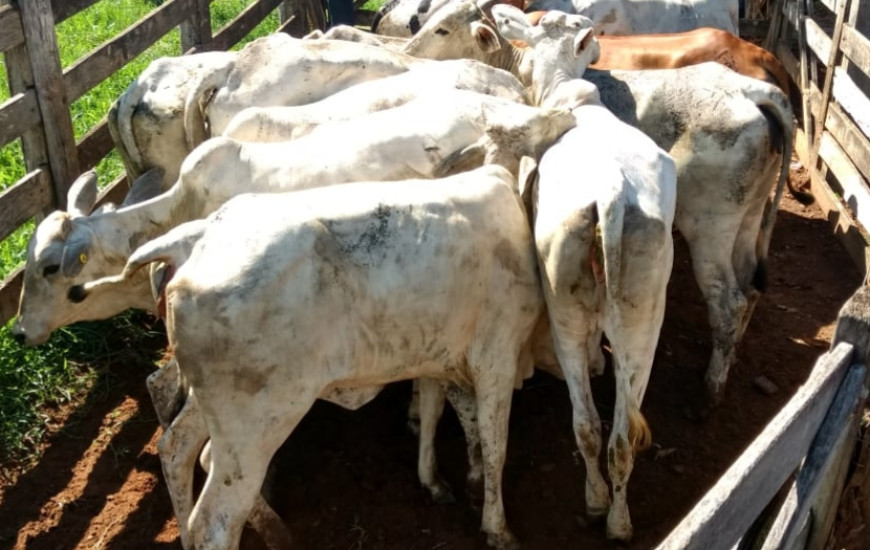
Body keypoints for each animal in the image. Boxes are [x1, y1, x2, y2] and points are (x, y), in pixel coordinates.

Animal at [74, 165, 545, 550]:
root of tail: (194, 241)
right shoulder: (497, 359)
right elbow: (495, 441)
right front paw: (498, 527)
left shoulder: (435, 355)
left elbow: (439, 415)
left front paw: (440, 481)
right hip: (255, 426)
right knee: (215, 520)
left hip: (212, 407)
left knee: (176, 449)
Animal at [404, 0, 795, 403]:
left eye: (443, 29)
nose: (408, 52)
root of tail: (755, 93)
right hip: (749, 215)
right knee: (749, 285)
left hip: (709, 229)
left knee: (728, 301)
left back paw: (713, 384)